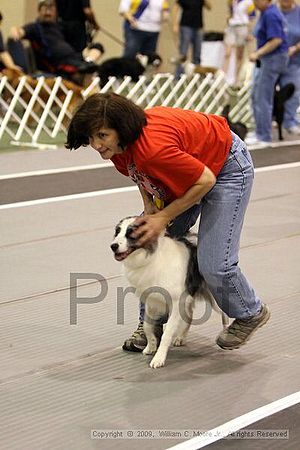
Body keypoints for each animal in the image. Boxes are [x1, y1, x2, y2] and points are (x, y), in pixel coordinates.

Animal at [111, 216, 226, 368]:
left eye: (131, 234)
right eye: (117, 232)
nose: (113, 246)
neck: (152, 258)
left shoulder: (176, 302)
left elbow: (167, 333)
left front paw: (158, 358)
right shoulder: (151, 300)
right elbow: (147, 325)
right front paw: (151, 346)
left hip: (214, 297)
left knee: (225, 313)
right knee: (189, 315)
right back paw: (181, 338)